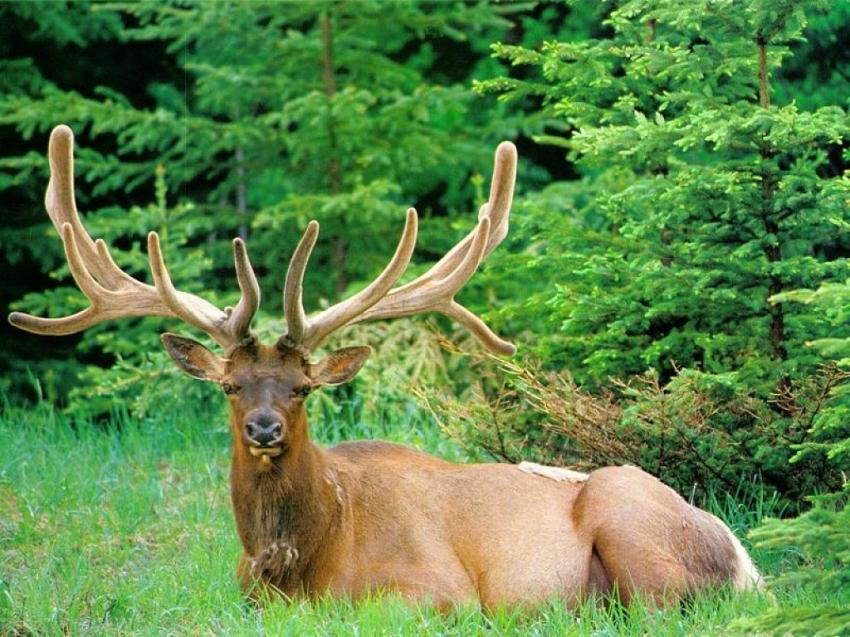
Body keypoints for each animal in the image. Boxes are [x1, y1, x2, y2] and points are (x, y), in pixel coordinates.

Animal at [9, 125, 761, 610]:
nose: (262, 428)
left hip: (631, 523)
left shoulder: (437, 590)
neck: (301, 564)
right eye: (229, 385)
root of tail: (744, 559)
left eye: (302, 388)